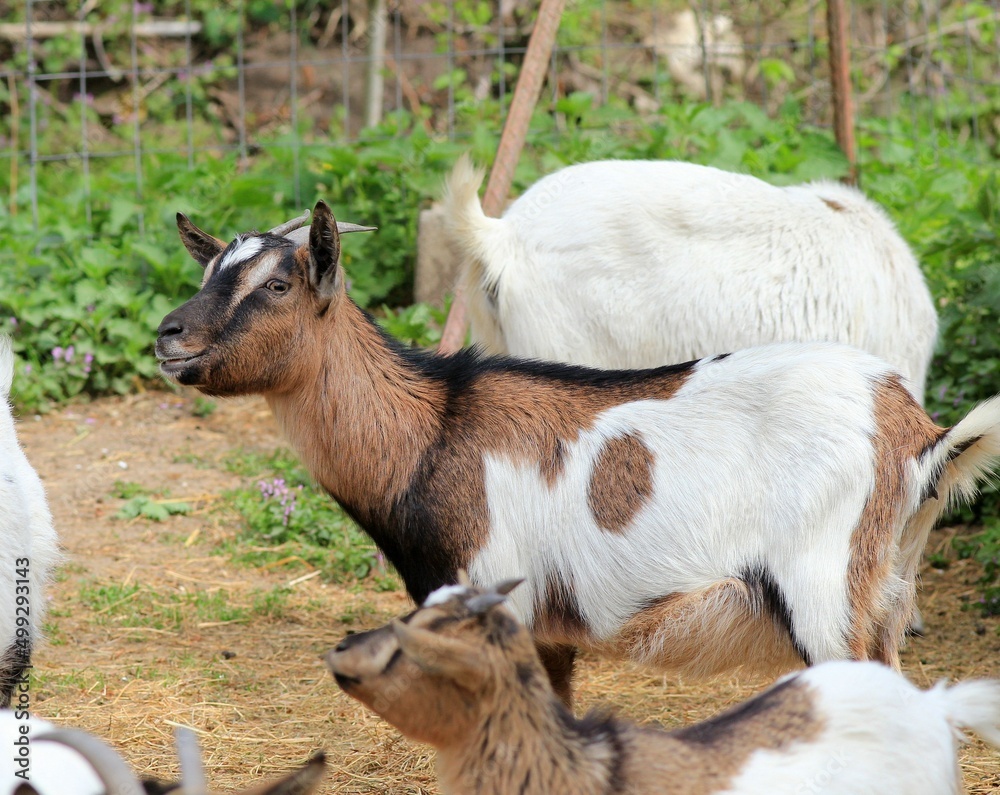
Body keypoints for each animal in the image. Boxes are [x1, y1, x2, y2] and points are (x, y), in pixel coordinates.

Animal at [154, 201, 1000, 704]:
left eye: (278, 285)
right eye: (210, 268)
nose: (170, 334)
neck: (430, 428)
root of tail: (912, 431)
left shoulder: (492, 599)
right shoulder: (548, 633)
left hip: (825, 598)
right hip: (881, 596)